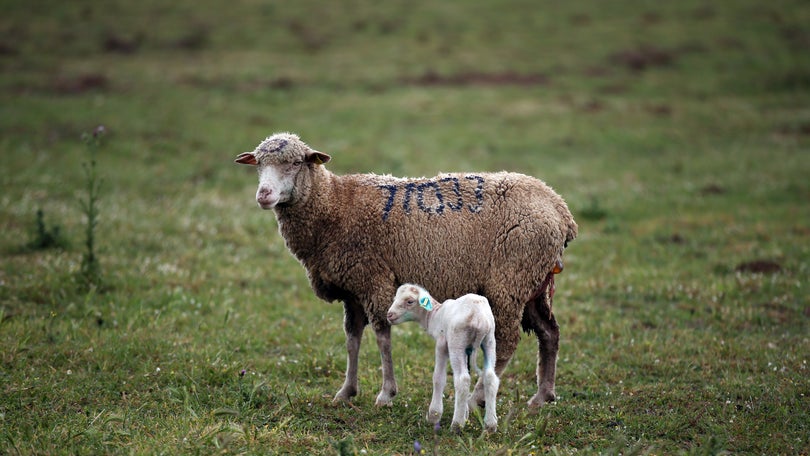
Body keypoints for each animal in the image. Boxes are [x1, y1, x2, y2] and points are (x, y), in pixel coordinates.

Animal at [234, 132, 576, 410]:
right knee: (549, 333)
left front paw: (386, 394)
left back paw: (478, 398)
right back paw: (543, 396)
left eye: (294, 163)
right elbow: (352, 339)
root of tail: (559, 208)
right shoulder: (352, 289)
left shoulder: (373, 278)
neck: (334, 206)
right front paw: (346, 391)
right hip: (532, 283)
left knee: (507, 341)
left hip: (510, 277)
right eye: (258, 164)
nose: (264, 195)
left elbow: (382, 336)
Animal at [386, 284, 498, 432]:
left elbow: (438, 378)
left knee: (462, 380)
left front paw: (433, 416)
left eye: (409, 301)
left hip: (457, 341)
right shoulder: (468, 350)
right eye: (395, 298)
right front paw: (465, 414)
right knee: (490, 377)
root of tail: (478, 316)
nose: (389, 315)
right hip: (489, 340)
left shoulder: (441, 343)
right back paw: (490, 425)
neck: (434, 315)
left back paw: (456, 425)